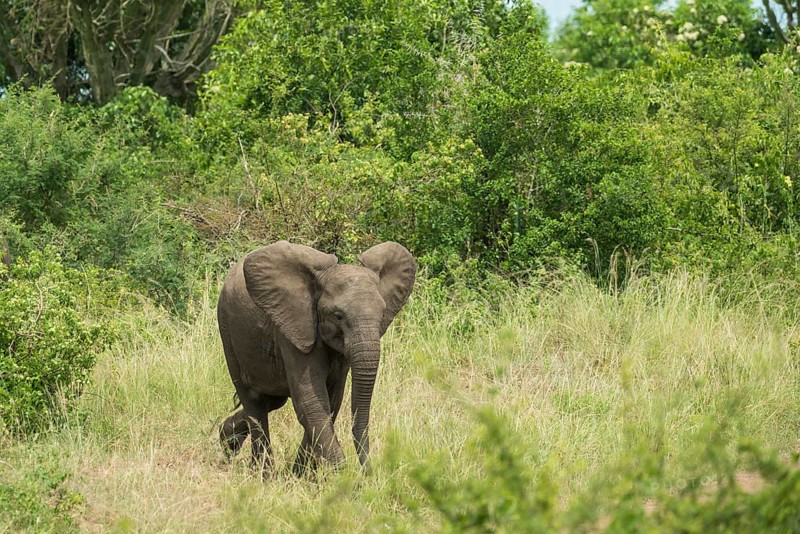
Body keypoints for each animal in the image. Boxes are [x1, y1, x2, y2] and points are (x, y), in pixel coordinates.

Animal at [217, 240, 417, 474]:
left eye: (383, 312)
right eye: (338, 316)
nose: (368, 473)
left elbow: (330, 403)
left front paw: (300, 475)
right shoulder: (295, 327)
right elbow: (311, 403)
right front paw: (342, 476)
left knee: (271, 401)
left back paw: (226, 440)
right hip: (227, 331)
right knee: (254, 403)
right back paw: (262, 473)